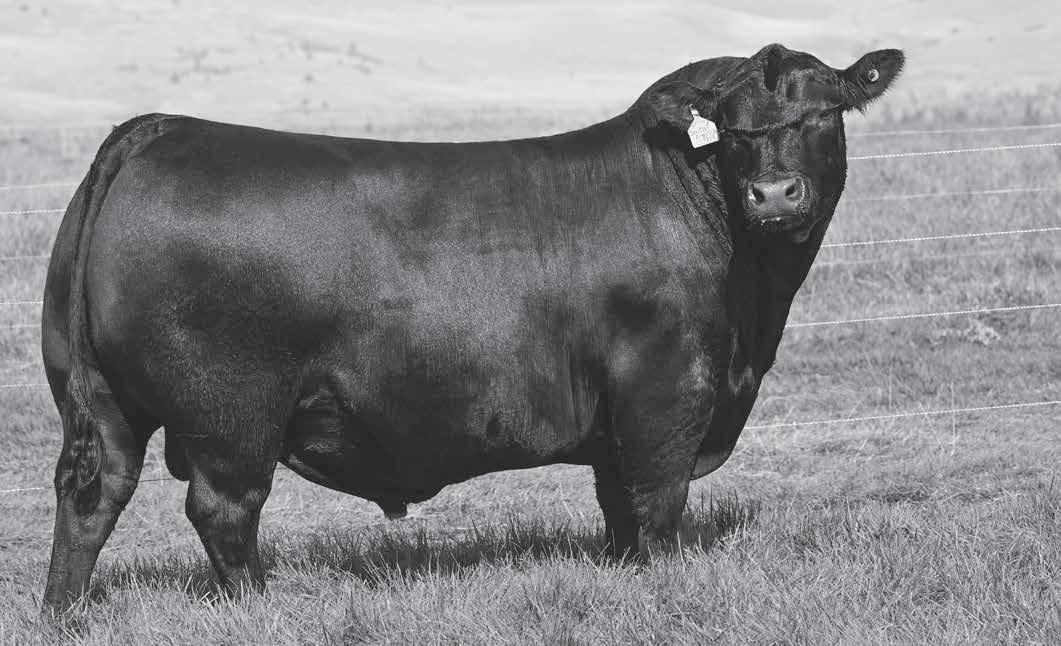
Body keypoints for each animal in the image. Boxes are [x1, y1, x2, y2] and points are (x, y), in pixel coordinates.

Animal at [40, 43, 902, 613]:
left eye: (823, 112)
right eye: (731, 128)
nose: (774, 193)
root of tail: (163, 128)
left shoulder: (617, 416)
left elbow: (618, 508)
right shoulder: (664, 392)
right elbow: (656, 505)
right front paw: (661, 586)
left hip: (103, 400)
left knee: (93, 494)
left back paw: (66, 613)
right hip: (232, 412)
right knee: (223, 509)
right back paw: (261, 609)